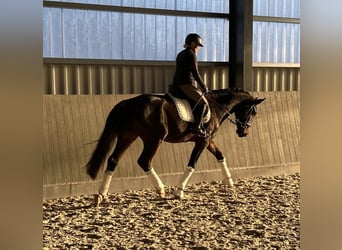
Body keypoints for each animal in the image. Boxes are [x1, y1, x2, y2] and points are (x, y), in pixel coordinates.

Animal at [85, 88, 264, 205]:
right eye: (252, 111)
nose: (243, 132)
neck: (215, 106)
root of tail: (127, 103)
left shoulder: (207, 140)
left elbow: (220, 155)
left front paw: (230, 182)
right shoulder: (203, 141)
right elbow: (192, 164)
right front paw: (179, 191)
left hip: (127, 136)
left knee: (113, 160)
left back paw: (101, 195)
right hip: (153, 139)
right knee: (144, 161)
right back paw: (161, 189)